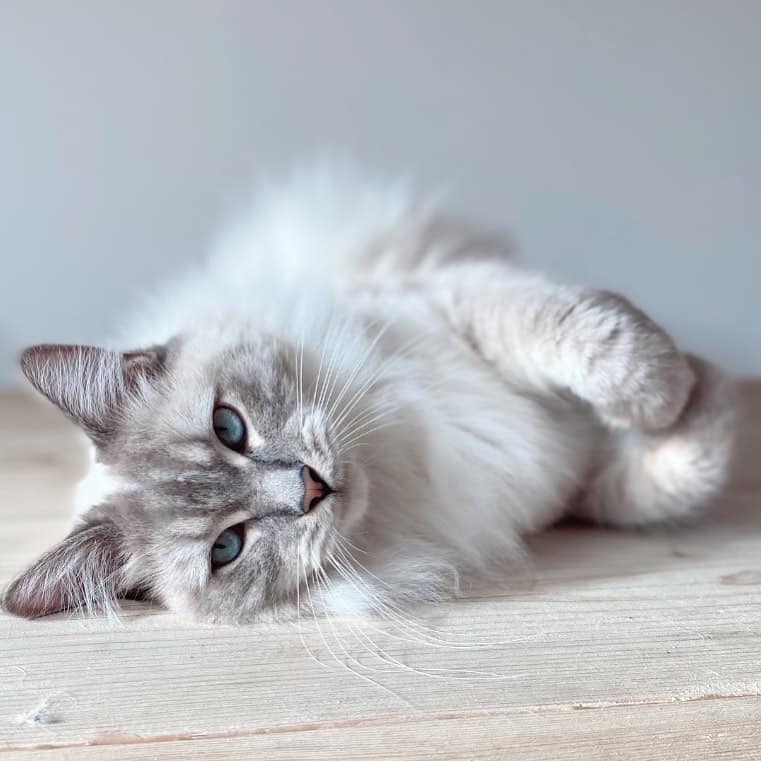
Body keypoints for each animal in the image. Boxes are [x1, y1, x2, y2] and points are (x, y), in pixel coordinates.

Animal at [0, 168, 736, 624]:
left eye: (228, 426)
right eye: (227, 548)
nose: (309, 488)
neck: (401, 476)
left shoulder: (458, 307)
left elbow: (606, 349)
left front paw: (686, 385)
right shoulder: (564, 485)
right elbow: (665, 477)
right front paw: (699, 395)